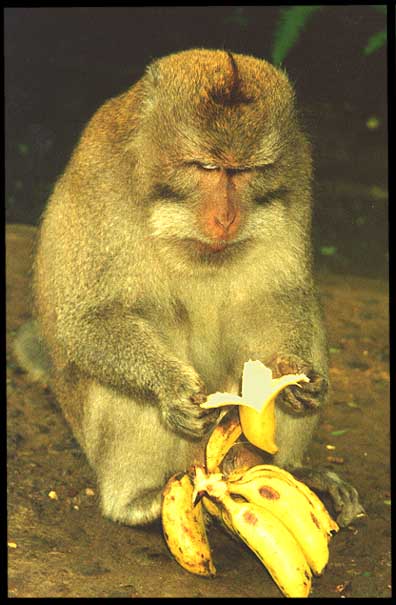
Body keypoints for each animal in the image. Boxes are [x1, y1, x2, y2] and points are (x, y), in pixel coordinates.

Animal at [13, 49, 366, 528]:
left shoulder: (297, 178)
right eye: (207, 167)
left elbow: (281, 299)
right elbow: (88, 320)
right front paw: (172, 387)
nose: (226, 218)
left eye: (246, 171)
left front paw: (298, 373)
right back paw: (137, 500)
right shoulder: (102, 181)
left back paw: (293, 472)